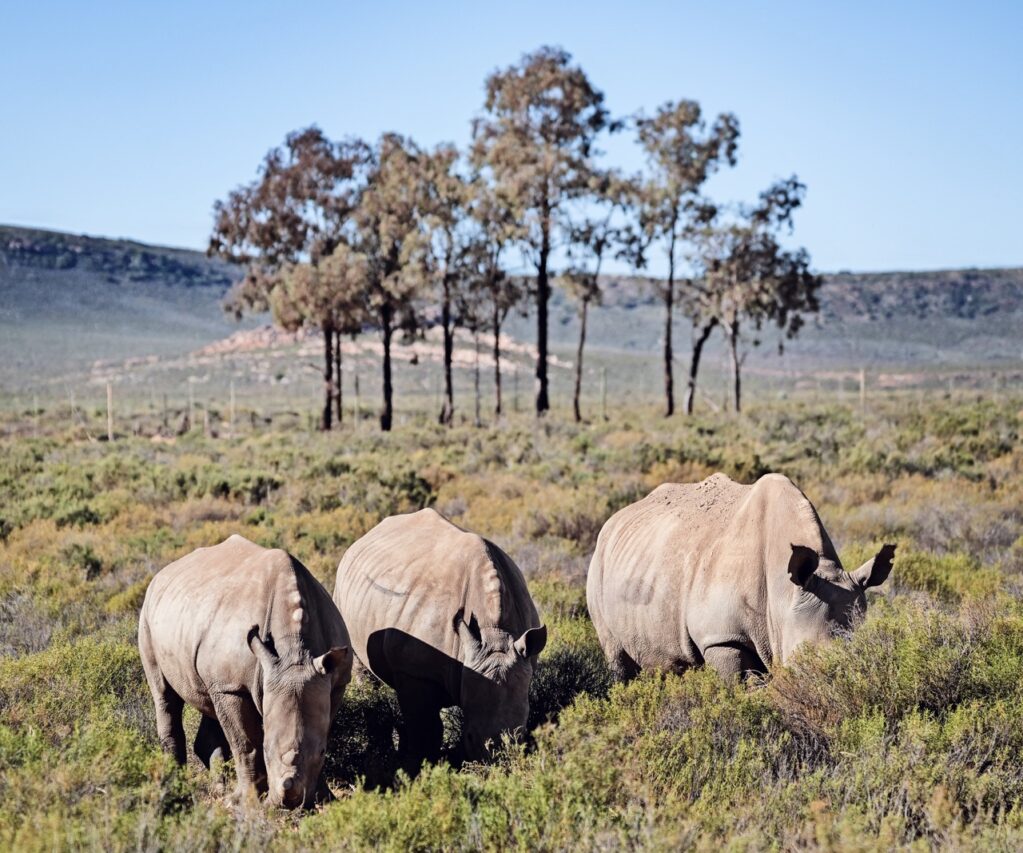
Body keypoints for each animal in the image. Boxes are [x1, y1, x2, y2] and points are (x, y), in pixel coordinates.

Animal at [138, 534, 352, 809]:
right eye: (267, 749)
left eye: (323, 752)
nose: (290, 803)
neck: (295, 653)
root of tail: (160, 575)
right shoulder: (233, 686)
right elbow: (245, 743)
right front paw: (245, 803)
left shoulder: (335, 682)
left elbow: (324, 730)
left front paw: (325, 798)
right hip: (147, 617)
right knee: (164, 694)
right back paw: (177, 789)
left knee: (208, 702)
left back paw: (219, 789)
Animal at [333, 508, 547, 766]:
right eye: (471, 737)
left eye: (522, 734)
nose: (494, 758)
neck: (495, 633)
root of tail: (362, 538)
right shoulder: (414, 672)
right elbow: (427, 729)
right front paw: (422, 767)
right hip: (342, 593)